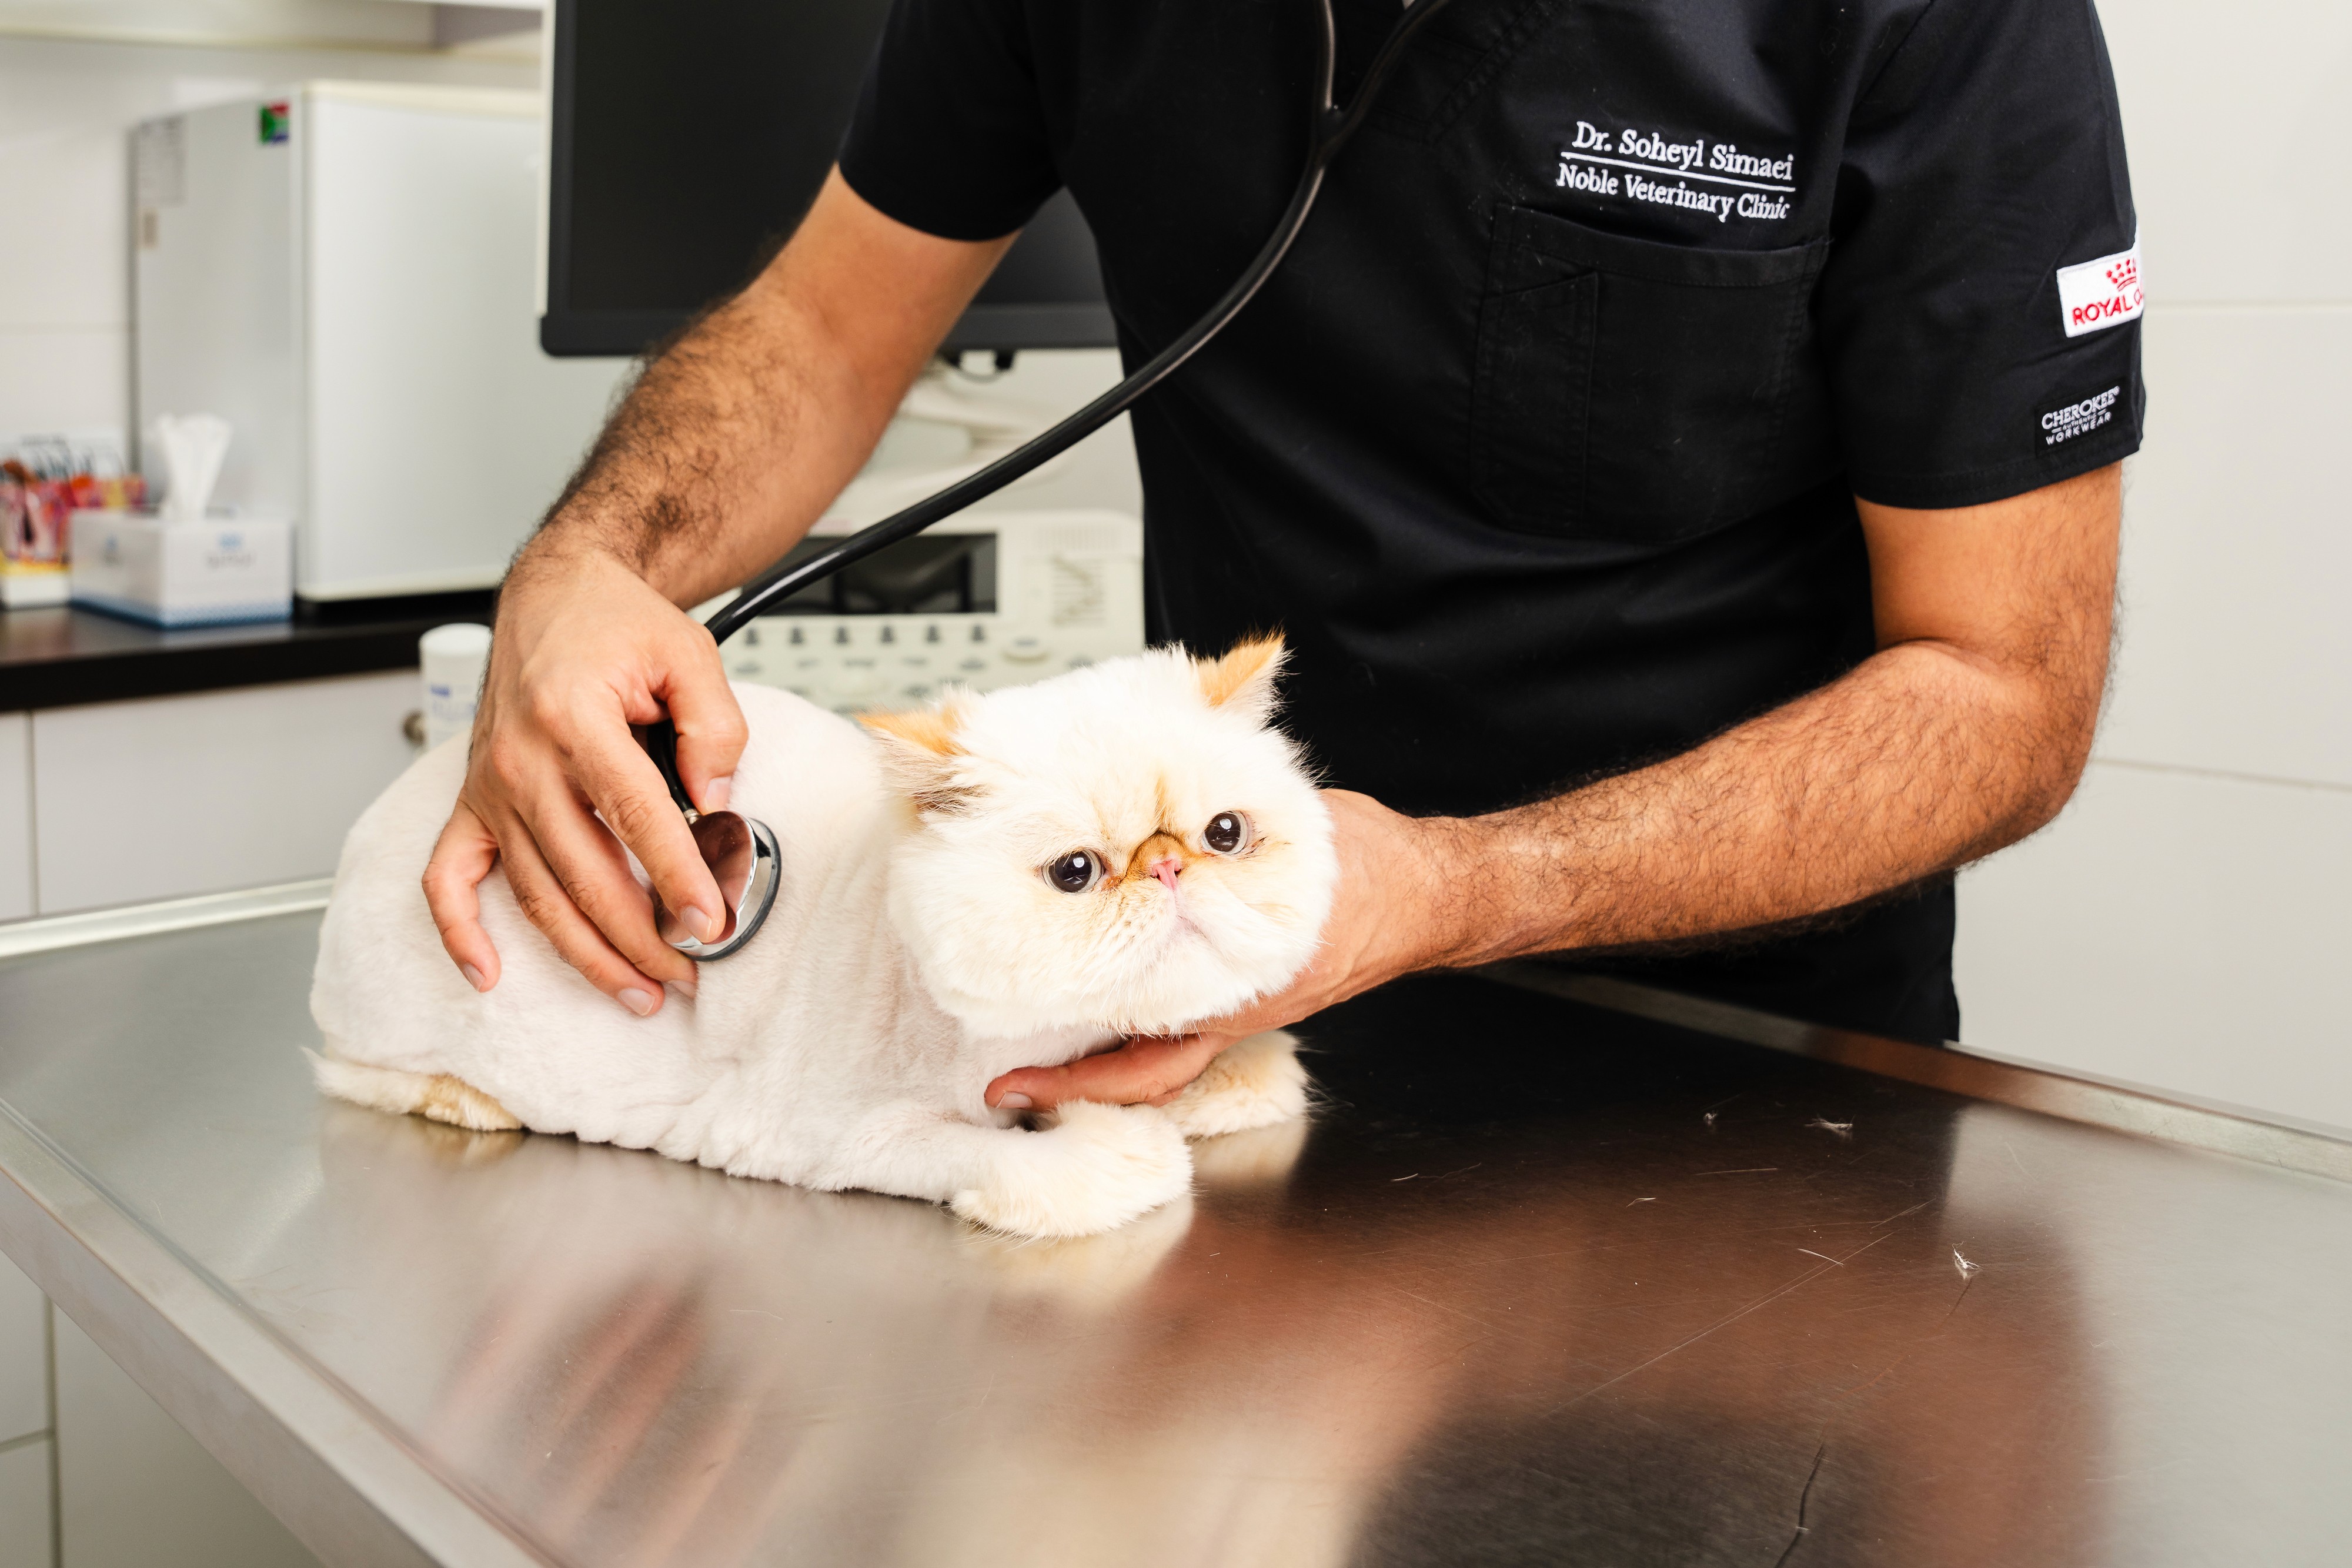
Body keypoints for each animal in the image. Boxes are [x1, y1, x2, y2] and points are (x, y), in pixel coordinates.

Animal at [310, 639, 1336, 1241]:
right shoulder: (835, 1137)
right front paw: (1111, 1140)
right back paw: (466, 1100)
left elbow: (1253, 1075)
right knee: (357, 1073)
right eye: (1077, 872)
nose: (1168, 868)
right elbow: (1070, 1161)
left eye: (1224, 835)